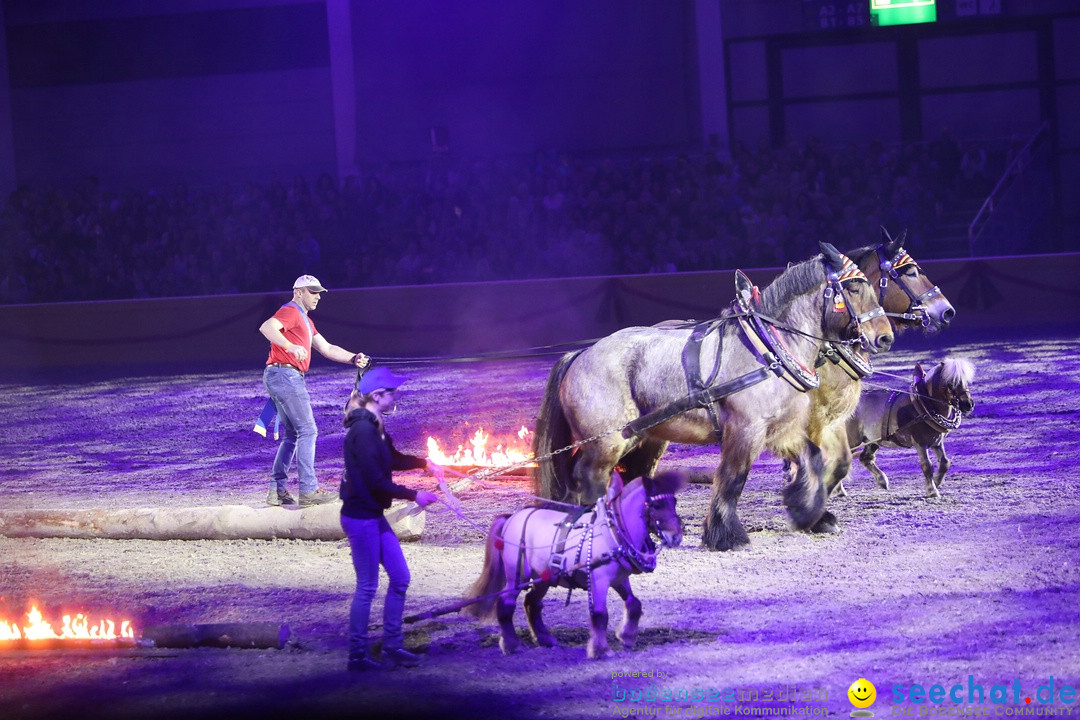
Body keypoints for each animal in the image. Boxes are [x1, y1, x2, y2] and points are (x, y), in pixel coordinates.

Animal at [462, 470, 682, 660]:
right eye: (656, 506)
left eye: (674, 501)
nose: (676, 538)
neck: (614, 530)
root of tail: (511, 518)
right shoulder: (599, 579)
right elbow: (600, 614)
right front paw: (600, 650)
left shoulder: (619, 579)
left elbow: (634, 604)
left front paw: (626, 637)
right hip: (516, 575)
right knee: (506, 603)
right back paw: (511, 645)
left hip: (543, 578)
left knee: (531, 603)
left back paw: (545, 639)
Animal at [531, 243, 894, 552]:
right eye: (854, 288)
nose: (885, 337)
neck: (769, 348)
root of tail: (580, 354)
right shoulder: (745, 430)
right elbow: (732, 479)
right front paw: (726, 536)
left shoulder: (780, 430)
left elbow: (813, 459)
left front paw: (806, 511)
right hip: (606, 442)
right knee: (589, 482)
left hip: (641, 438)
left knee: (630, 477)